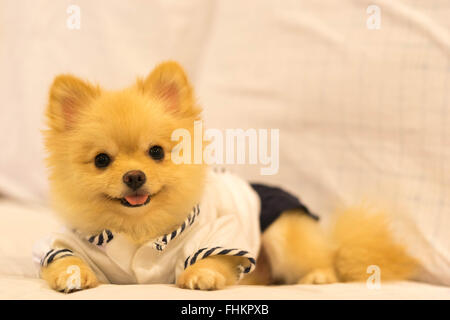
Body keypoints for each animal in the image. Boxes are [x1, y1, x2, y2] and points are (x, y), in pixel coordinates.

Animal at [34, 60, 418, 292]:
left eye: (156, 152)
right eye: (102, 160)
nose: (134, 176)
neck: (141, 229)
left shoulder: (221, 232)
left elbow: (213, 256)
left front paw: (200, 274)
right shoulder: (65, 243)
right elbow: (65, 257)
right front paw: (71, 273)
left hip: (282, 231)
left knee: (323, 260)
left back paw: (319, 275)